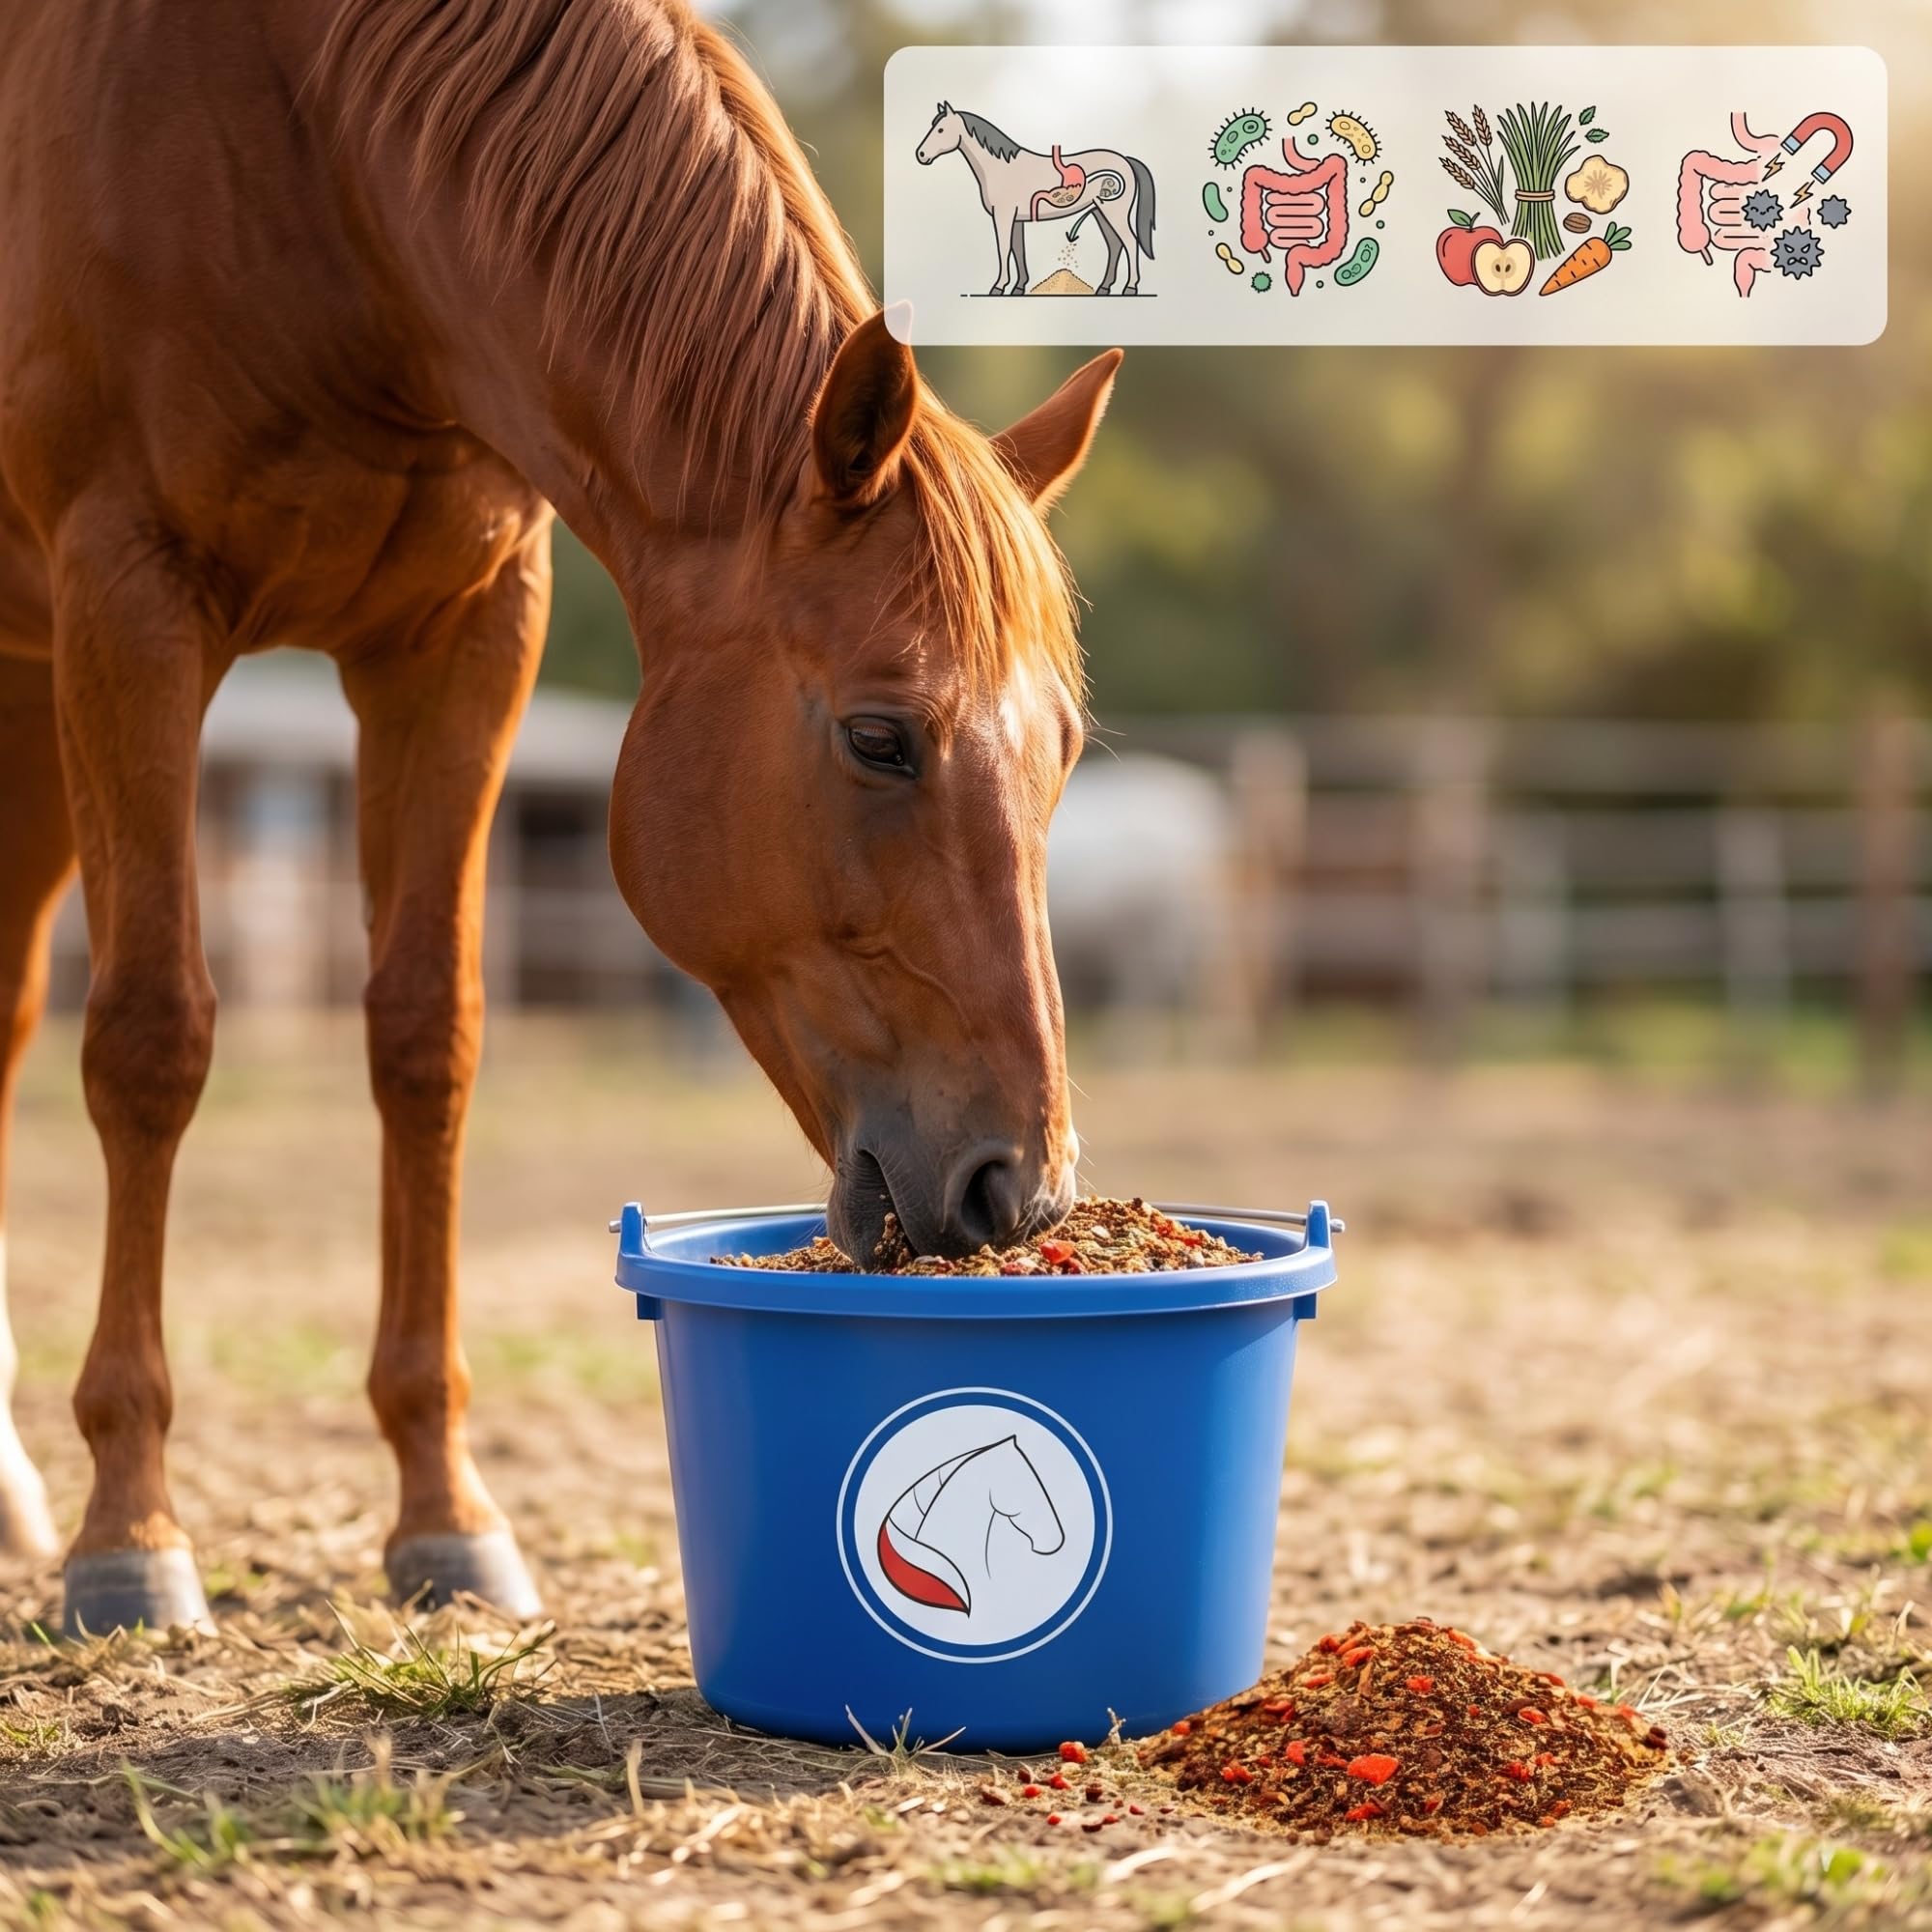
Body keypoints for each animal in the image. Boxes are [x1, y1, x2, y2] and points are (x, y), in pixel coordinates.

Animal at [0, 0, 1124, 1638]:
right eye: (879, 737)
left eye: (1062, 755)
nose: (1020, 1189)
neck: (315, 163)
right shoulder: (128, 602)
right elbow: (152, 1041)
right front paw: (129, 1535)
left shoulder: (464, 632)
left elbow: (430, 1041)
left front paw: (444, 1515)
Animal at [916, 104, 1156, 297]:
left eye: (940, 129)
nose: (921, 155)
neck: (1000, 167)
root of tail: (1126, 160)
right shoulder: (1016, 219)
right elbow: (1017, 250)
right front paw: (1018, 287)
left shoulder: (1003, 216)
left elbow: (1003, 249)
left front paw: (998, 287)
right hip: (1100, 211)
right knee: (1115, 244)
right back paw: (1104, 288)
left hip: (1114, 212)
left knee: (1129, 242)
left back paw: (1130, 287)